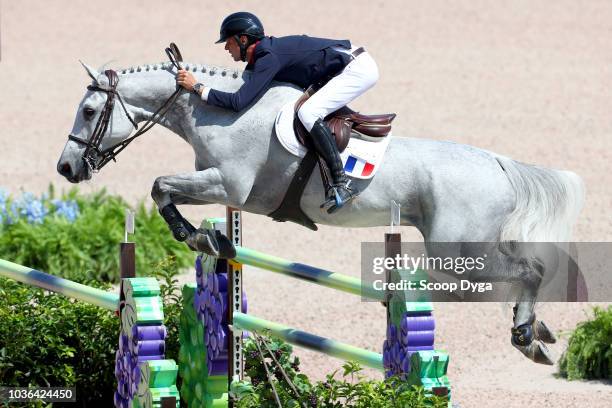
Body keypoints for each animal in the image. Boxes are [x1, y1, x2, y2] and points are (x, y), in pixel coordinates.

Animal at [57, 61, 584, 366]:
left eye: (89, 111)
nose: (66, 168)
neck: (222, 113)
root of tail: (499, 164)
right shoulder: (224, 189)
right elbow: (163, 189)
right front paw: (211, 238)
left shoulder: (231, 186)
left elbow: (160, 186)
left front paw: (198, 236)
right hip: (467, 249)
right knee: (523, 270)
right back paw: (537, 330)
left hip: (456, 255)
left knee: (528, 270)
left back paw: (526, 335)